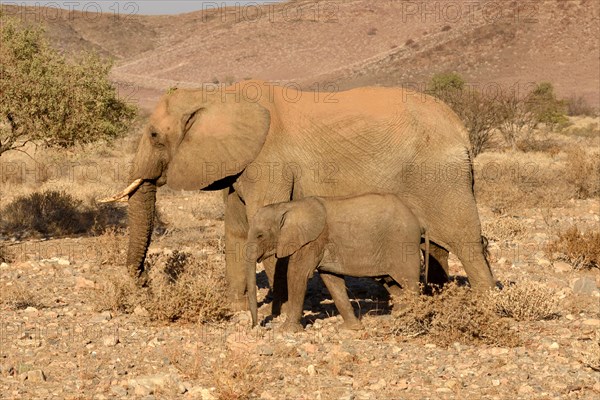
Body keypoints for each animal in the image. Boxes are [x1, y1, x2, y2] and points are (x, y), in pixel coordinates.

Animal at [104, 80, 496, 310]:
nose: (143, 284)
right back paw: (438, 302)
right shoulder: (239, 164)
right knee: (441, 245)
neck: (219, 97)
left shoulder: (269, 161)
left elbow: (263, 230)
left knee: (465, 241)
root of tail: (460, 127)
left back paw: (487, 306)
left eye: (154, 135)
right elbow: (236, 232)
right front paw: (235, 311)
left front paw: (275, 311)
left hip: (440, 174)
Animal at [246, 194, 428, 332]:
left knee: (409, 284)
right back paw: (398, 316)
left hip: (403, 245)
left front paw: (286, 331)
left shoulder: (313, 240)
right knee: (393, 284)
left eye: (260, 235)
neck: (288, 206)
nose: (256, 326)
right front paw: (351, 328)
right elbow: (331, 279)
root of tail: (419, 223)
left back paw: (410, 319)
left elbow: (297, 274)